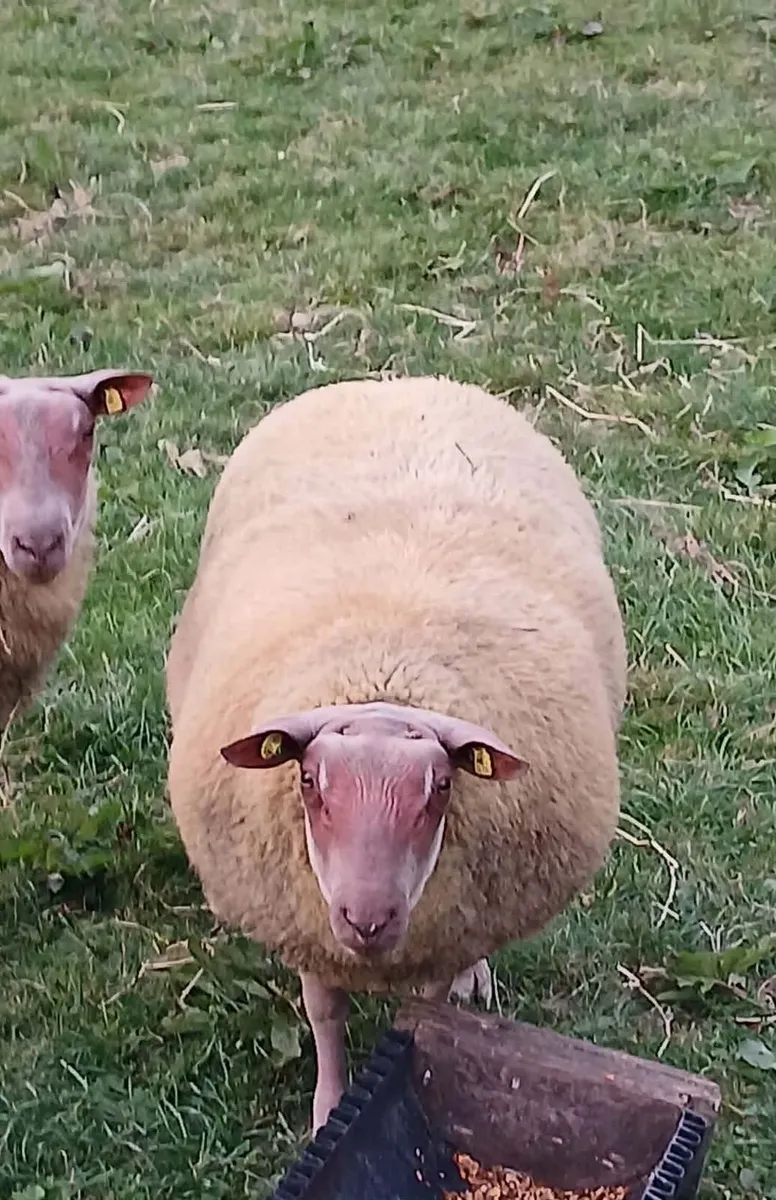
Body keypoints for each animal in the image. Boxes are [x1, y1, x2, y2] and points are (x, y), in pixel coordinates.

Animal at [165, 374, 627, 1135]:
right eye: (311, 785)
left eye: (439, 790)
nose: (367, 918)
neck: (383, 681)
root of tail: (400, 382)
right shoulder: (306, 922)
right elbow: (324, 1014)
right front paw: (328, 1108)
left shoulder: (440, 925)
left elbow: (429, 1011)